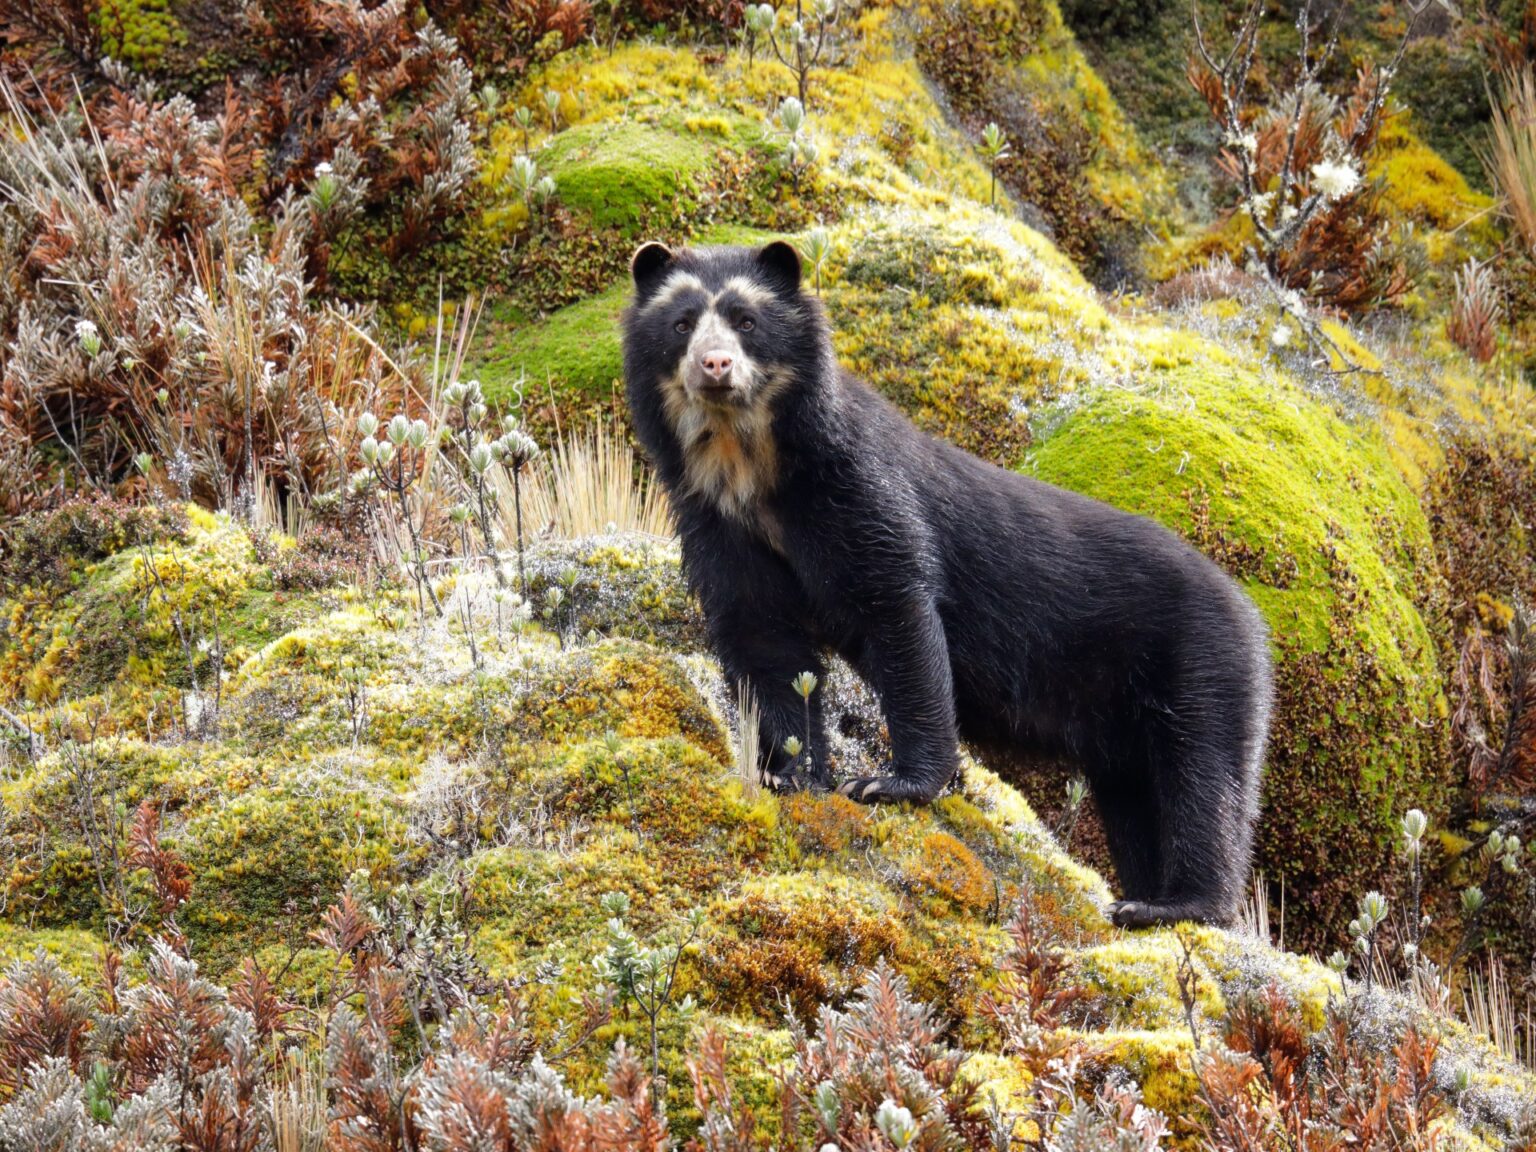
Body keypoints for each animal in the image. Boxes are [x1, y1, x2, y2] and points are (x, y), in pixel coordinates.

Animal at [620, 239, 1274, 927]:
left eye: (746, 320)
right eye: (682, 324)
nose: (715, 365)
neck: (747, 464)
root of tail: (1252, 614)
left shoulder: (858, 490)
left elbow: (899, 611)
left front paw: (887, 783)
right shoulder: (717, 525)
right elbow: (762, 639)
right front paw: (791, 776)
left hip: (1201, 670)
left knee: (1203, 781)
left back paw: (1173, 906)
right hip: (1127, 727)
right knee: (1139, 802)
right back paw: (1142, 895)